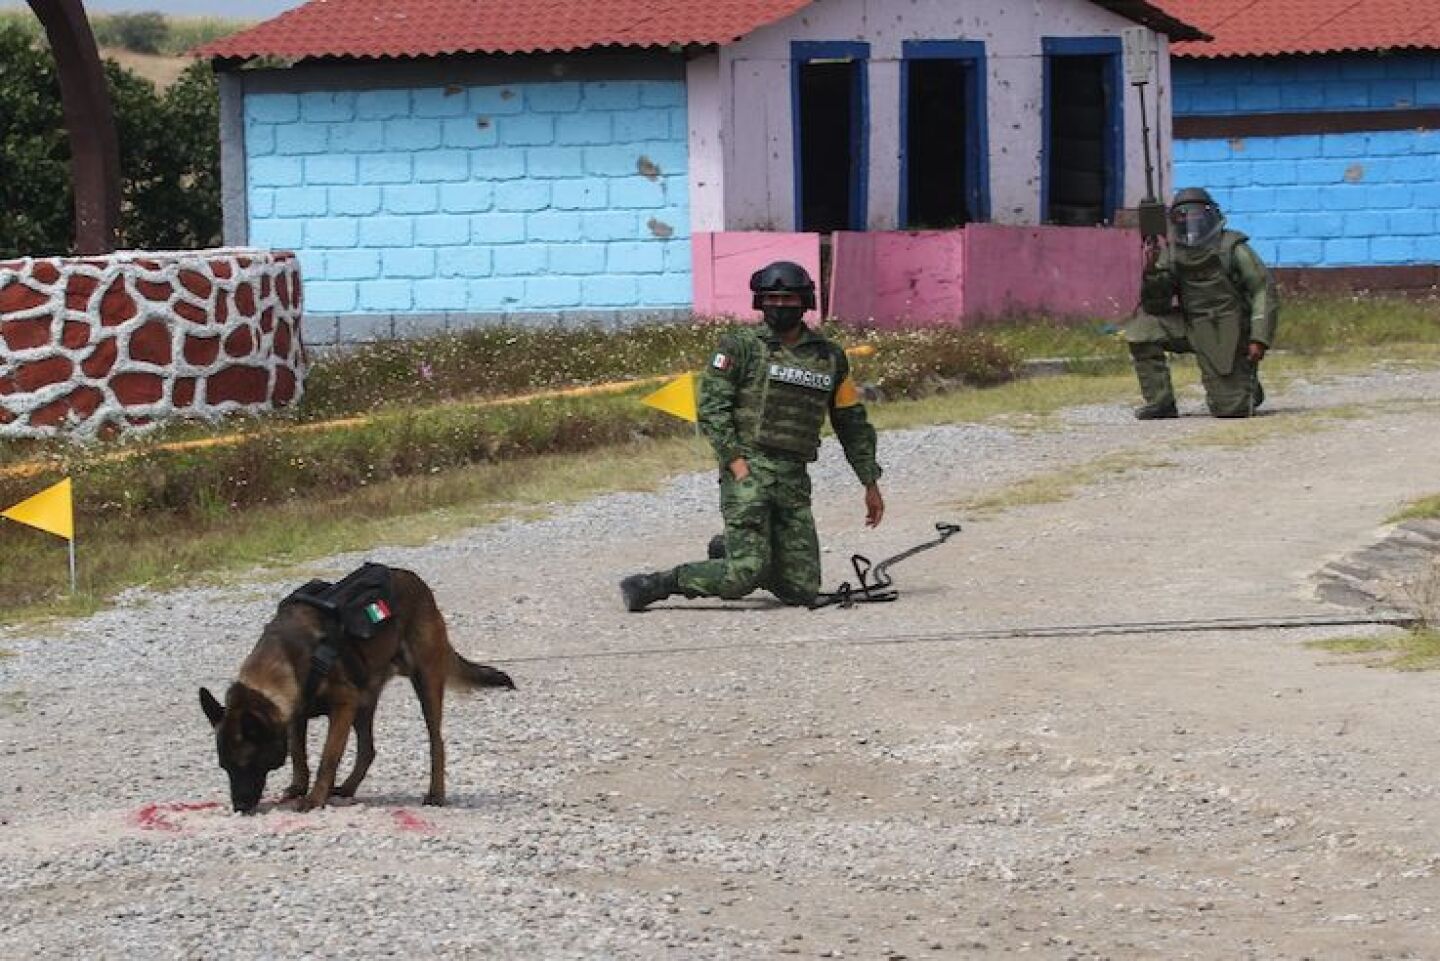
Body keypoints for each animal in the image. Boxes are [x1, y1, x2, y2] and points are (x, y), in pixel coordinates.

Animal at [197, 567, 512, 818]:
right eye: (224, 767)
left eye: (246, 764)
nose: (238, 807)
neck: (283, 658)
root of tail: (415, 581)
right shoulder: (298, 714)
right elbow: (299, 754)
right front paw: (299, 787)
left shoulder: (343, 705)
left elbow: (327, 758)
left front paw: (314, 797)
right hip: (365, 699)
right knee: (368, 749)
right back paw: (348, 787)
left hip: (423, 684)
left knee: (437, 742)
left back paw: (436, 793)